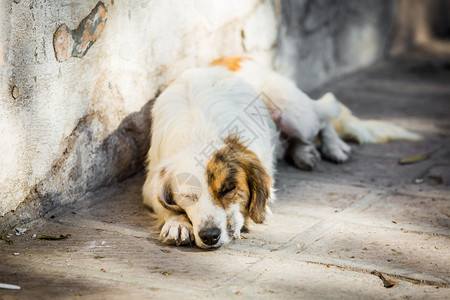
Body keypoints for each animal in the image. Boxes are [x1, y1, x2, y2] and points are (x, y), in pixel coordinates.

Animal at [142, 57, 420, 250]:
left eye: (229, 189)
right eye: (188, 196)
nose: (209, 236)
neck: (200, 134)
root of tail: (231, 57)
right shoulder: (152, 180)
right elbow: (163, 203)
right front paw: (177, 224)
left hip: (293, 113)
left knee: (324, 116)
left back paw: (333, 147)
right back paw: (304, 152)